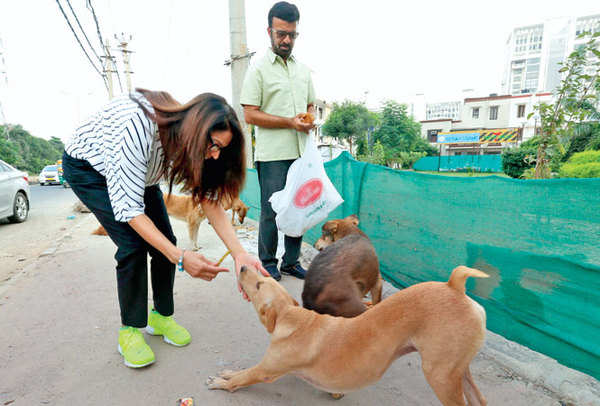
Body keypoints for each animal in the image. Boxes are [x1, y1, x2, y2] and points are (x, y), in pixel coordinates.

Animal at [89, 194, 248, 251]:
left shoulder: (196, 225)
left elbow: (195, 238)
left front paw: (197, 246)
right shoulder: (191, 225)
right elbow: (192, 238)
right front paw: (193, 248)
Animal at [209, 264, 490, 404]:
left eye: (259, 284)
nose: (243, 266)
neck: (290, 317)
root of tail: (454, 287)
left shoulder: (266, 370)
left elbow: (243, 377)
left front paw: (222, 383)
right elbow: (241, 371)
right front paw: (227, 373)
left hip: (440, 376)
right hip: (457, 371)